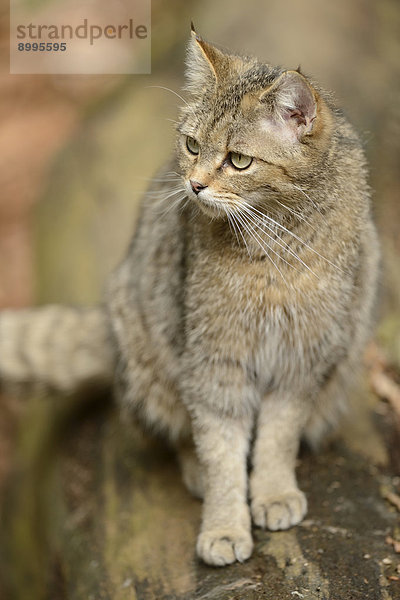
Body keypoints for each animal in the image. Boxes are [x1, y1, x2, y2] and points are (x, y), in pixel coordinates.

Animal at [0, 24, 378, 568]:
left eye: (239, 160)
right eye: (192, 145)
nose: (194, 186)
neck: (274, 243)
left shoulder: (302, 355)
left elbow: (278, 437)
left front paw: (272, 491)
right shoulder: (212, 361)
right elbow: (220, 448)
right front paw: (224, 523)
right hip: (147, 351)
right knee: (178, 431)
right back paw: (195, 469)